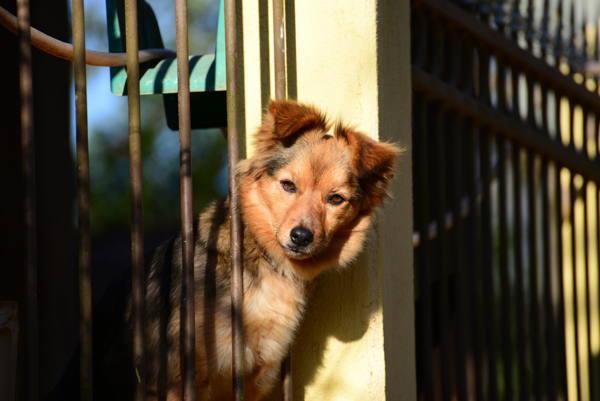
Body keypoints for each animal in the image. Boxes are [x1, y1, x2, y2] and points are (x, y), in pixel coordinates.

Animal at [143, 98, 400, 398]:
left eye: (336, 199)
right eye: (288, 185)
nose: (301, 237)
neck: (269, 264)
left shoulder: (257, 376)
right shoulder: (178, 379)